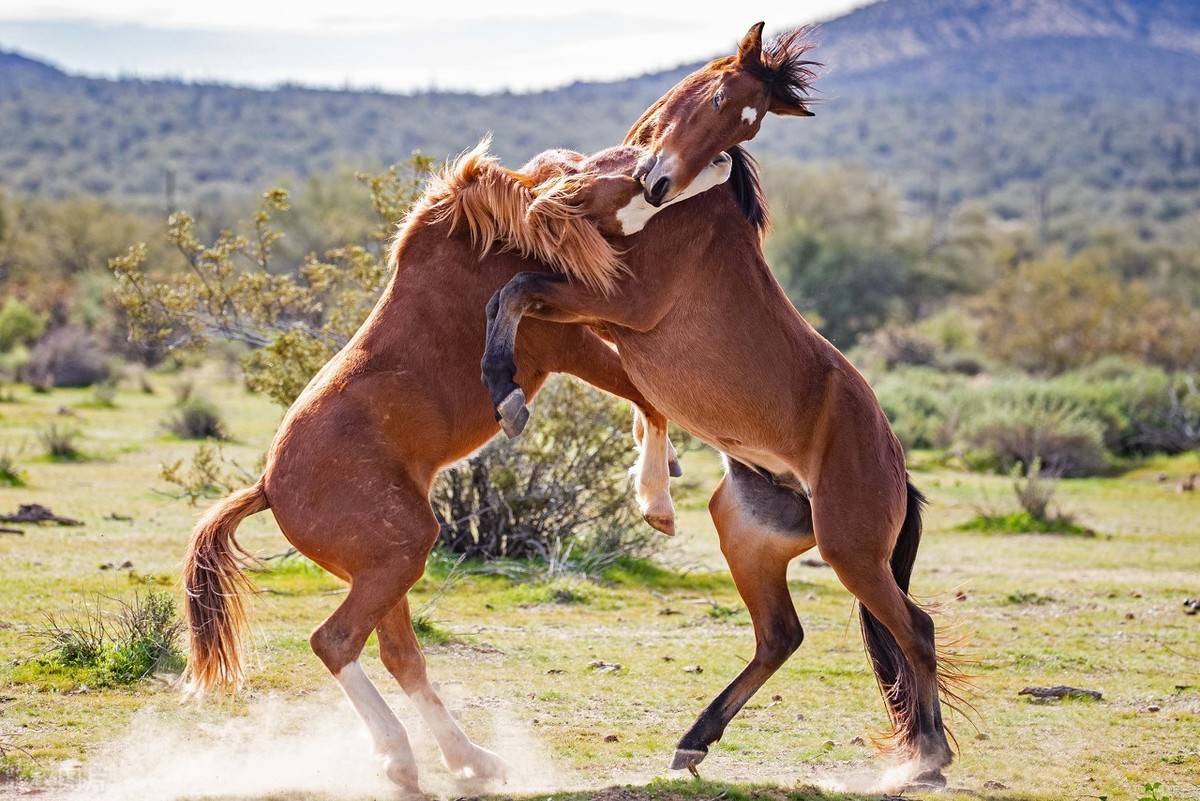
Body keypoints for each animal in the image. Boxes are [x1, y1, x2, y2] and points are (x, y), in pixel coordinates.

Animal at [482, 21, 960, 786]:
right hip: (745, 529)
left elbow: (517, 290)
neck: (685, 214)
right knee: (781, 635)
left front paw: (504, 389)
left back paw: (928, 759)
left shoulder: (616, 303)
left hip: (851, 549)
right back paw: (694, 740)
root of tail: (898, 469)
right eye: (716, 100)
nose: (656, 182)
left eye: (747, 124)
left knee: (913, 626)